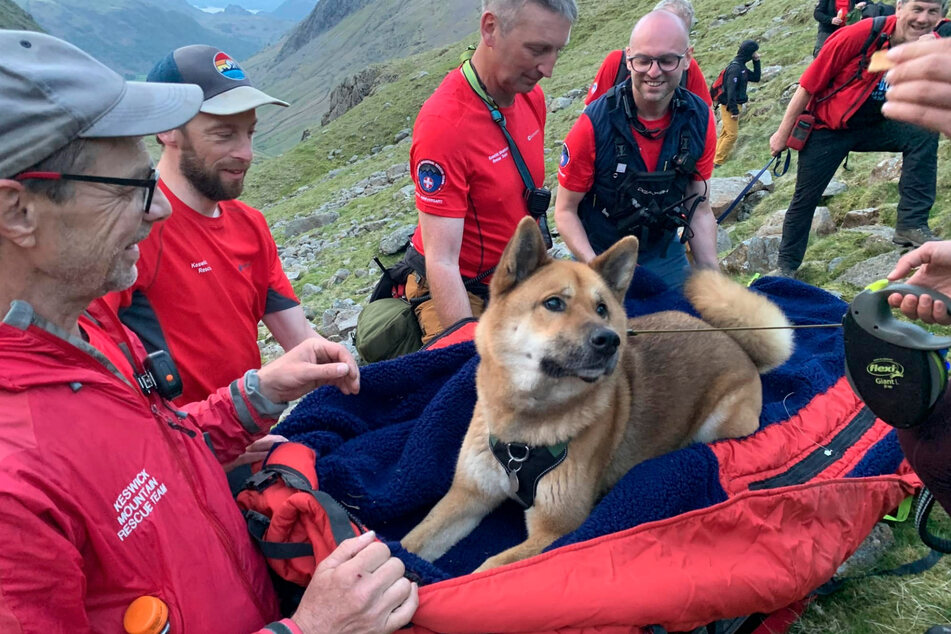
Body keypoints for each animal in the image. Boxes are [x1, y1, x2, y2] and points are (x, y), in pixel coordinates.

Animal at [402, 216, 796, 568]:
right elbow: (412, 542)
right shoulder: (467, 496)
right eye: (554, 303)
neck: (524, 429)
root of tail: (734, 342)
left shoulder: (555, 530)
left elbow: (489, 568)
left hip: (721, 424)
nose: (610, 341)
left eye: (602, 308)